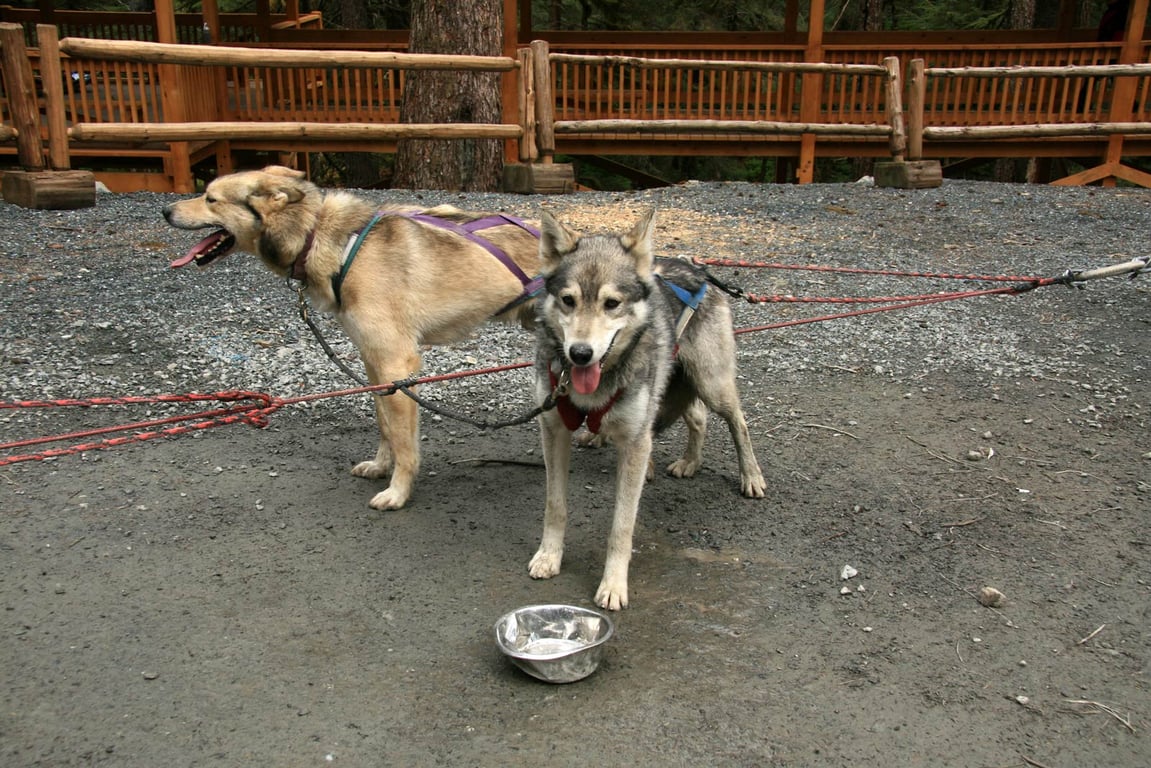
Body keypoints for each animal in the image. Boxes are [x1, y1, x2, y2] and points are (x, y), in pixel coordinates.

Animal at [162, 165, 538, 506]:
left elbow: (404, 443)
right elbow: (385, 427)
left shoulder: (396, 365)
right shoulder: (375, 365)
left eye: (210, 198)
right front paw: (382, 466)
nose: (165, 210)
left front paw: (398, 491)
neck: (335, 243)